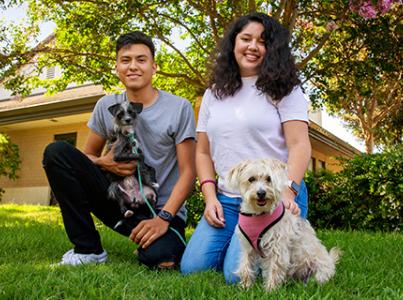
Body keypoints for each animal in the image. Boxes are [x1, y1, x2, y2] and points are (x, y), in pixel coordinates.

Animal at [227, 158, 340, 292]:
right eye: (251, 179)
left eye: (269, 178)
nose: (261, 193)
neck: (258, 214)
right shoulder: (247, 247)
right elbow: (246, 266)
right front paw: (245, 287)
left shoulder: (277, 247)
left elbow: (274, 269)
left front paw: (270, 290)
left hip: (320, 270)